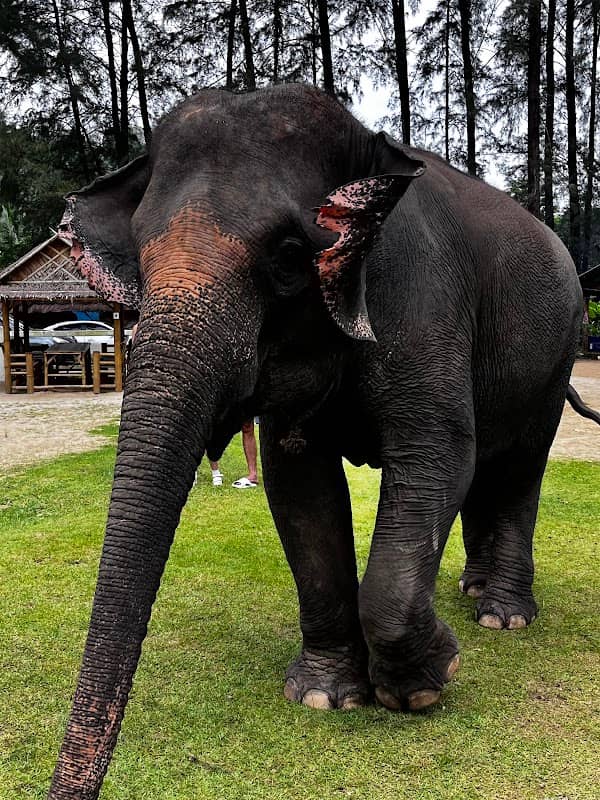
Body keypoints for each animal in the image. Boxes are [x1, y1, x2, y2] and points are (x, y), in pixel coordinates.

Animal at [48, 84, 591, 799]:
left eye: (286, 257)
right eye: (137, 255)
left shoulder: (422, 296)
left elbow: (436, 453)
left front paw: (426, 684)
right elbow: (298, 484)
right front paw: (325, 696)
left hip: (556, 357)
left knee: (521, 468)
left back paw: (504, 616)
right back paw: (473, 592)